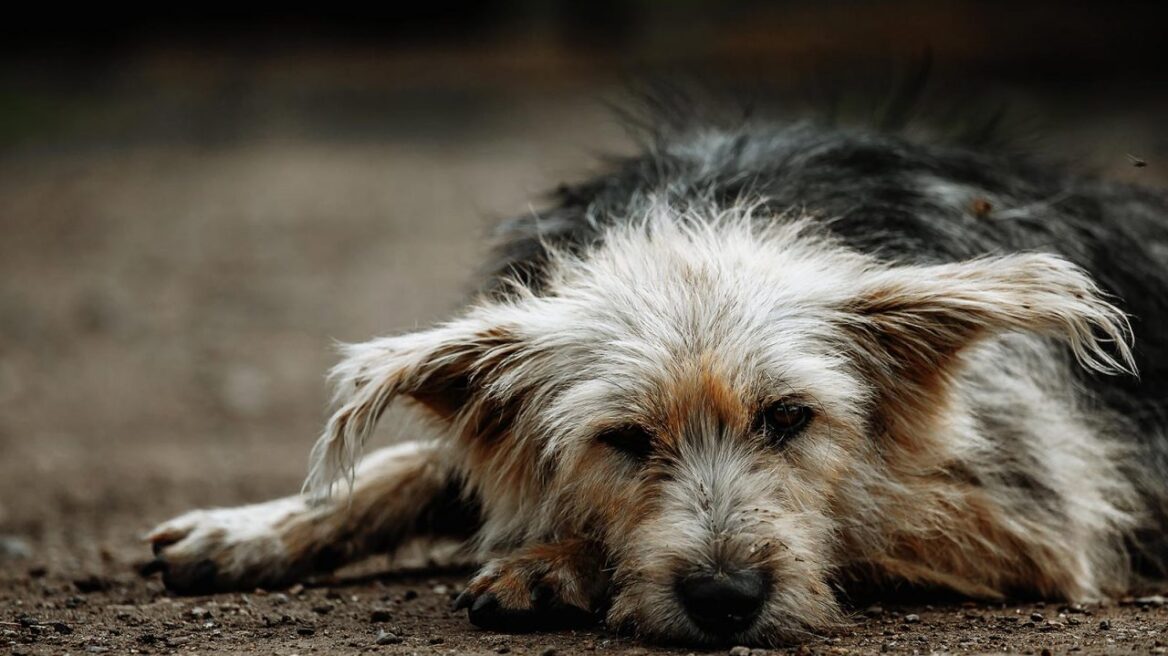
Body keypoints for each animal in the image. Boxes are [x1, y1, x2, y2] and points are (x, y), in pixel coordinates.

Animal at [138, 103, 1168, 644]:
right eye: (625, 440)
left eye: (788, 419)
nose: (725, 599)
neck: (705, 221)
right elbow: (423, 465)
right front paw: (253, 531)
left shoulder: (1036, 521)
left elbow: (860, 517)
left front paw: (553, 562)